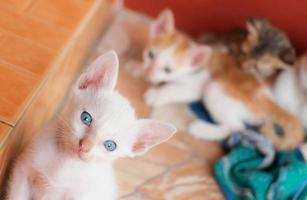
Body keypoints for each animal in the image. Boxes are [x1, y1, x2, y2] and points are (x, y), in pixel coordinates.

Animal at [6, 50, 177, 200]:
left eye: (110, 145)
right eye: (86, 118)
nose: (85, 146)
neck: (65, 163)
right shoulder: (23, 169)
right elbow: (16, 195)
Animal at [144, 9, 306, 150]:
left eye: (168, 70)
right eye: (150, 55)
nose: (148, 74)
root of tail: (269, 101)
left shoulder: (197, 83)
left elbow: (175, 90)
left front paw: (156, 95)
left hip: (215, 89)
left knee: (237, 127)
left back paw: (202, 129)